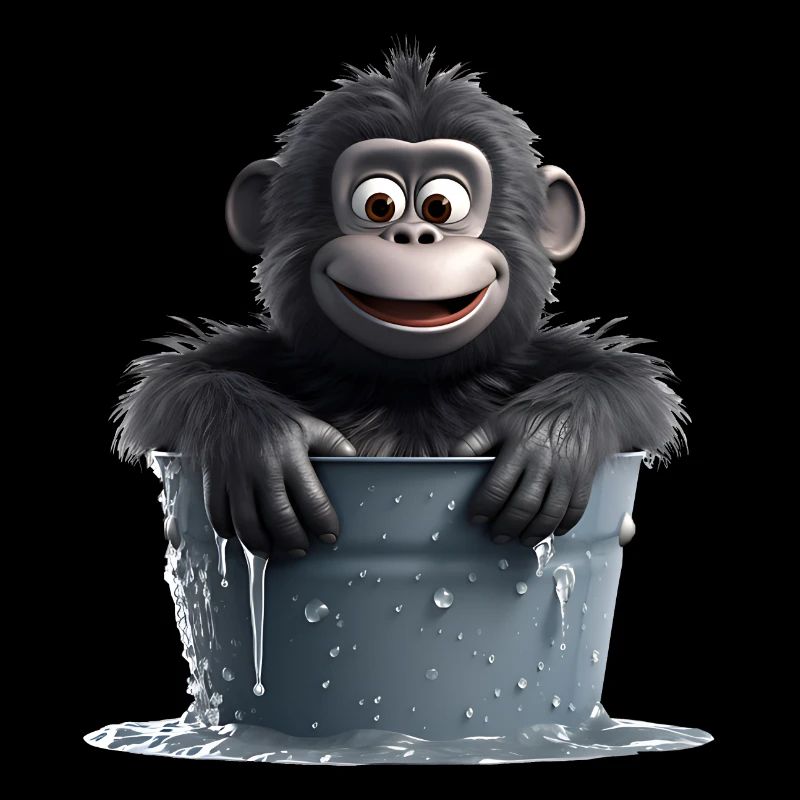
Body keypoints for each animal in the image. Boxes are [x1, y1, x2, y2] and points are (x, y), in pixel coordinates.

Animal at [113, 46, 686, 560]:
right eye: (378, 204)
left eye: (442, 205)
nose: (413, 235)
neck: (408, 390)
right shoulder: (275, 358)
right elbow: (172, 385)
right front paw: (262, 443)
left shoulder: (531, 359)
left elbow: (629, 385)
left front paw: (547, 438)